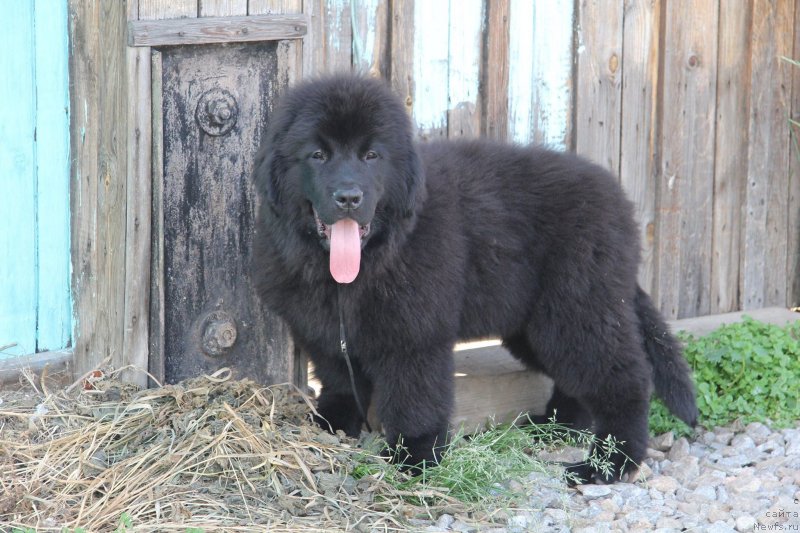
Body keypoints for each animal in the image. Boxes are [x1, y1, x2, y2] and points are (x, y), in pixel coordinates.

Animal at [253, 75, 696, 482]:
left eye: (372, 155)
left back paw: (609, 464)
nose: (348, 197)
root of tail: (620, 202)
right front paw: (332, 422)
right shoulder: (319, 326)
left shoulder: (416, 336)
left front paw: (414, 460)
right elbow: (338, 375)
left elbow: (415, 400)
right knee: (577, 380)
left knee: (625, 379)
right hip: (536, 324)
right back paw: (555, 428)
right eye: (317, 154)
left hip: (578, 308)